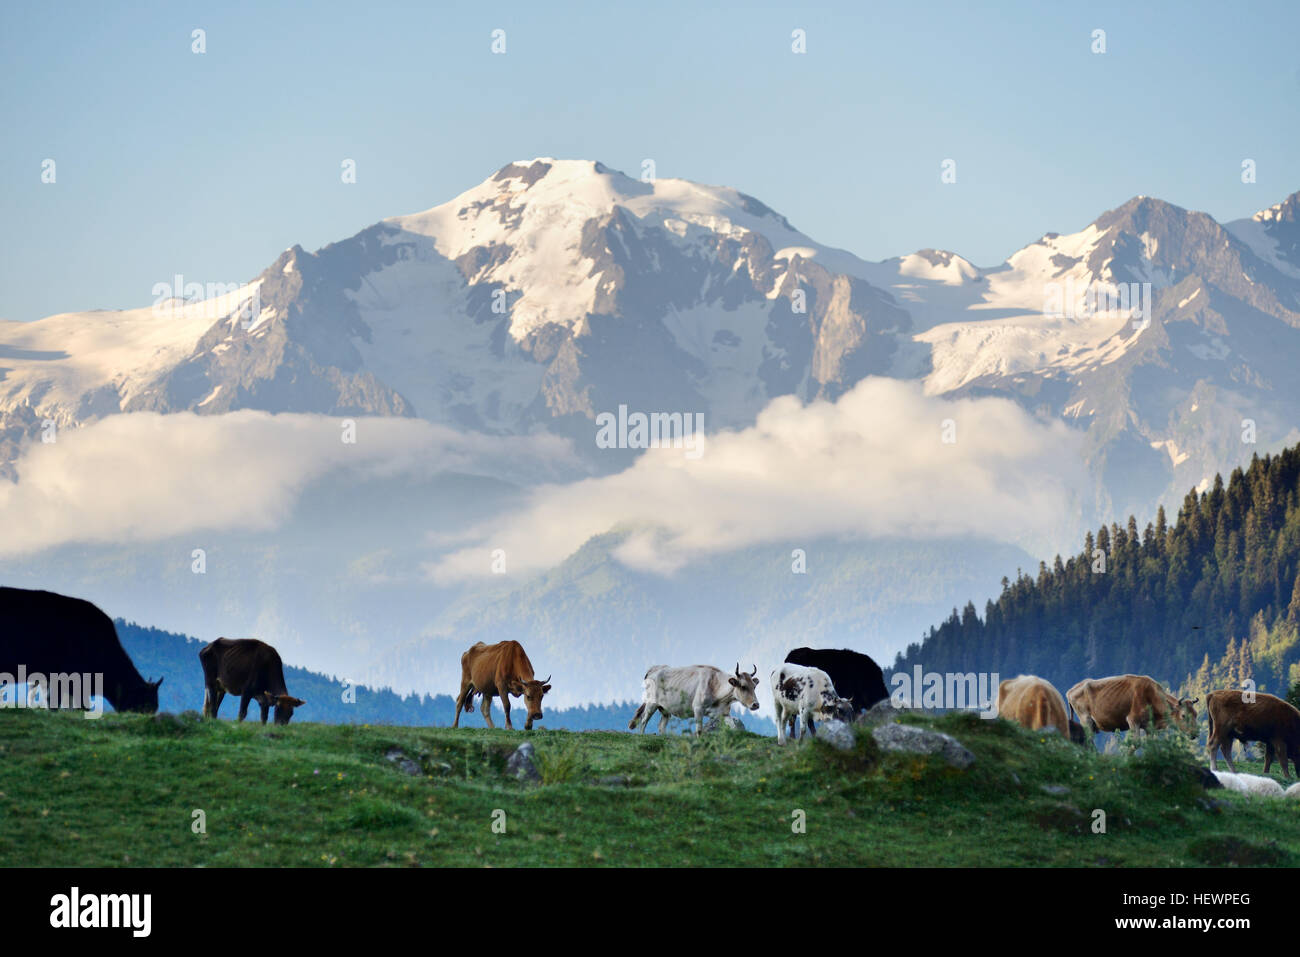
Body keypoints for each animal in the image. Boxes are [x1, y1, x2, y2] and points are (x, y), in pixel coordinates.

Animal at [629, 660, 759, 738]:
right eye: (743, 686)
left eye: (754, 686)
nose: (756, 704)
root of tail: (656, 668)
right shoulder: (698, 708)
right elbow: (699, 730)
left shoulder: (724, 713)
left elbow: (733, 726)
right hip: (651, 704)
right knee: (643, 720)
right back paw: (641, 735)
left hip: (665, 709)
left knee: (661, 725)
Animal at [1066, 670, 1196, 743]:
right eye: (1183, 715)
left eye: (1196, 714)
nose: (1195, 733)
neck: (1151, 696)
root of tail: (1071, 690)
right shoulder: (1133, 720)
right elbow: (1136, 743)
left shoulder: (1149, 727)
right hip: (1086, 720)